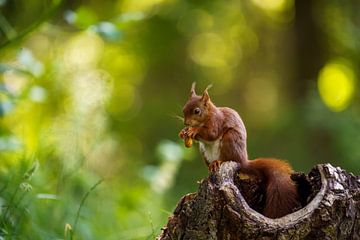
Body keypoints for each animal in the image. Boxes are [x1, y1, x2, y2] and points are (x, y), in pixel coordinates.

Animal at [179, 83, 300, 219]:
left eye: (197, 111)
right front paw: (183, 132)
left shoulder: (216, 122)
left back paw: (218, 162)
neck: (208, 115)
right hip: (204, 152)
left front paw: (193, 131)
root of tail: (243, 160)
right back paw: (211, 166)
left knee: (227, 158)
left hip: (230, 139)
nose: (186, 123)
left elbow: (211, 133)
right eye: (183, 109)